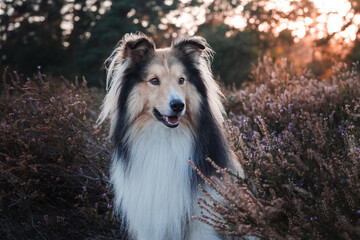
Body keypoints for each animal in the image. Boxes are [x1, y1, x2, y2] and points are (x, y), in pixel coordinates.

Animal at [97, 32, 235, 240]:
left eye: (181, 80)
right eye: (154, 80)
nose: (178, 105)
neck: (165, 137)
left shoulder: (202, 218)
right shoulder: (149, 219)